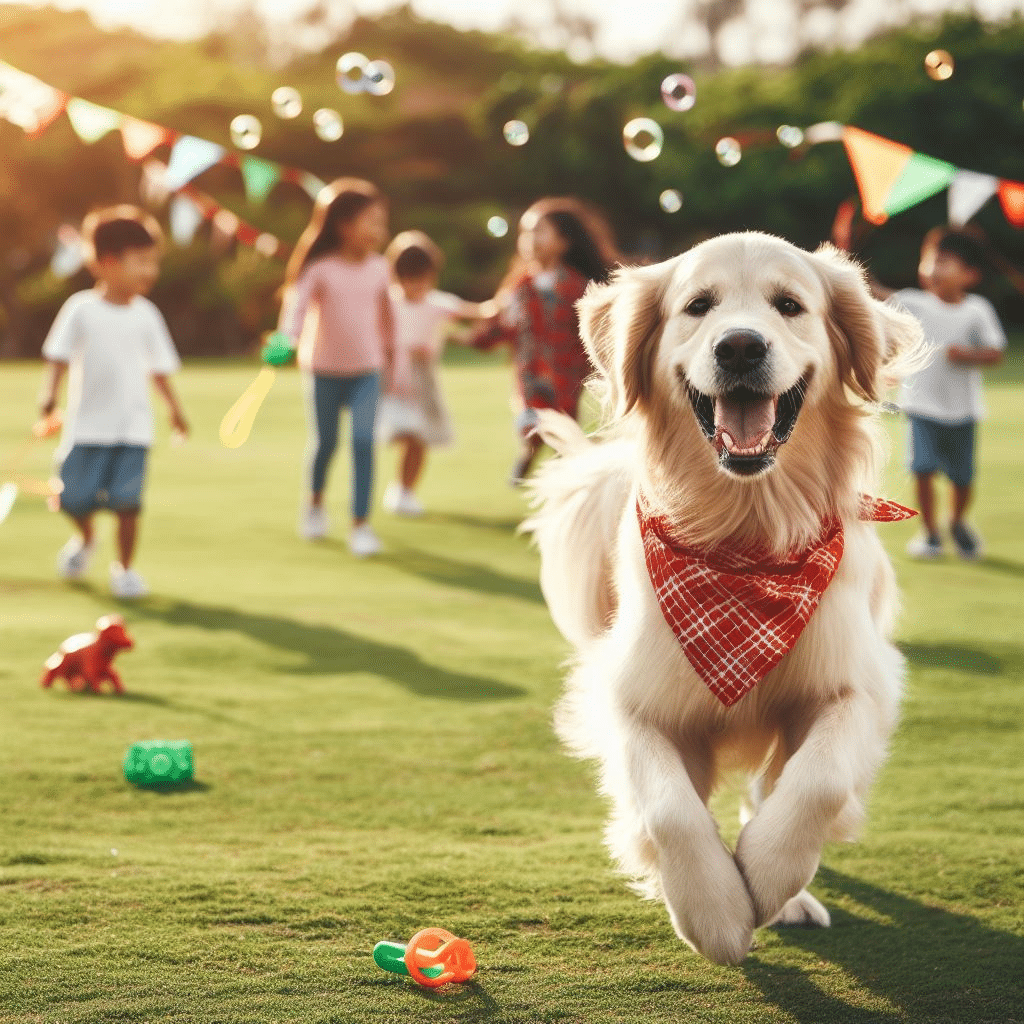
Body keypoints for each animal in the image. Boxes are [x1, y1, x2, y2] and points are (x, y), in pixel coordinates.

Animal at [528, 234, 929, 966]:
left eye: (790, 305)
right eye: (698, 306)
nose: (739, 347)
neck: (747, 538)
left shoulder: (853, 683)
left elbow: (818, 782)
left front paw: (767, 877)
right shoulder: (636, 697)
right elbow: (669, 809)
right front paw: (710, 908)